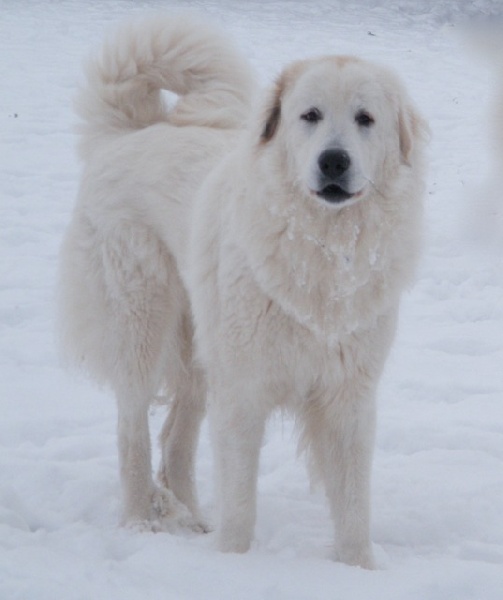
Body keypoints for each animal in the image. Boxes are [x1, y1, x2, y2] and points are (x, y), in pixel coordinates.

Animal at [59, 15, 428, 569]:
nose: (334, 161)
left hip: (199, 352)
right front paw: (232, 561)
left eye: (365, 118)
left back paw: (191, 519)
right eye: (310, 115)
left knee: (176, 440)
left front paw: (358, 569)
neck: (320, 249)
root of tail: (133, 131)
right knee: (132, 433)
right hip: (142, 324)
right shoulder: (243, 390)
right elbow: (239, 497)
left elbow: (353, 504)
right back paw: (141, 521)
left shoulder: (348, 396)